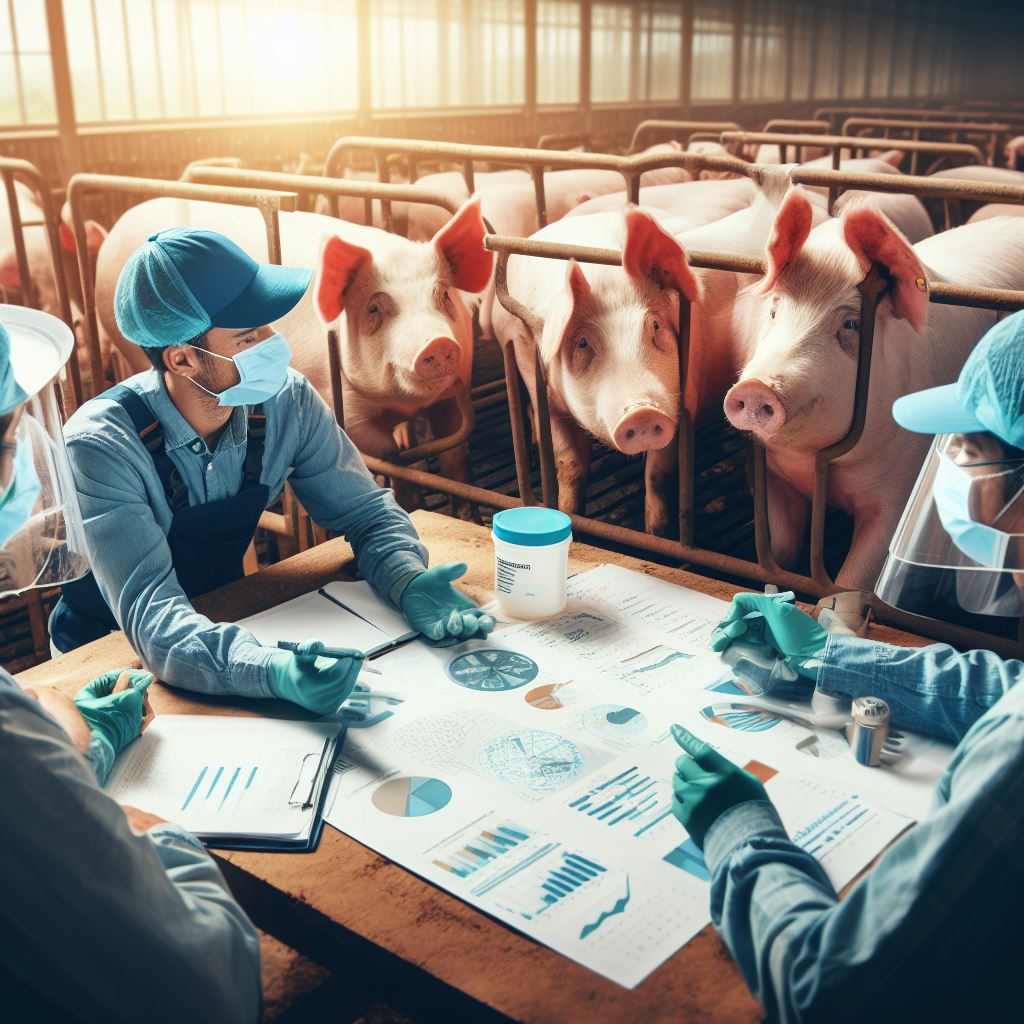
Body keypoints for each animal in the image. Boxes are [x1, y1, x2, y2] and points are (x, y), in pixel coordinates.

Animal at [93, 195, 491, 503]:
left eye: (443, 295)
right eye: (376, 308)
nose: (437, 343)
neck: (400, 404)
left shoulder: (452, 394)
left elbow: (454, 458)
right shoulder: (337, 400)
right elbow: (391, 459)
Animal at [724, 193, 1024, 593]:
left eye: (851, 324)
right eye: (774, 311)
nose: (757, 388)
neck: (819, 463)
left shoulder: (899, 493)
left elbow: (852, 580)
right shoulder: (776, 475)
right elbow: (780, 549)